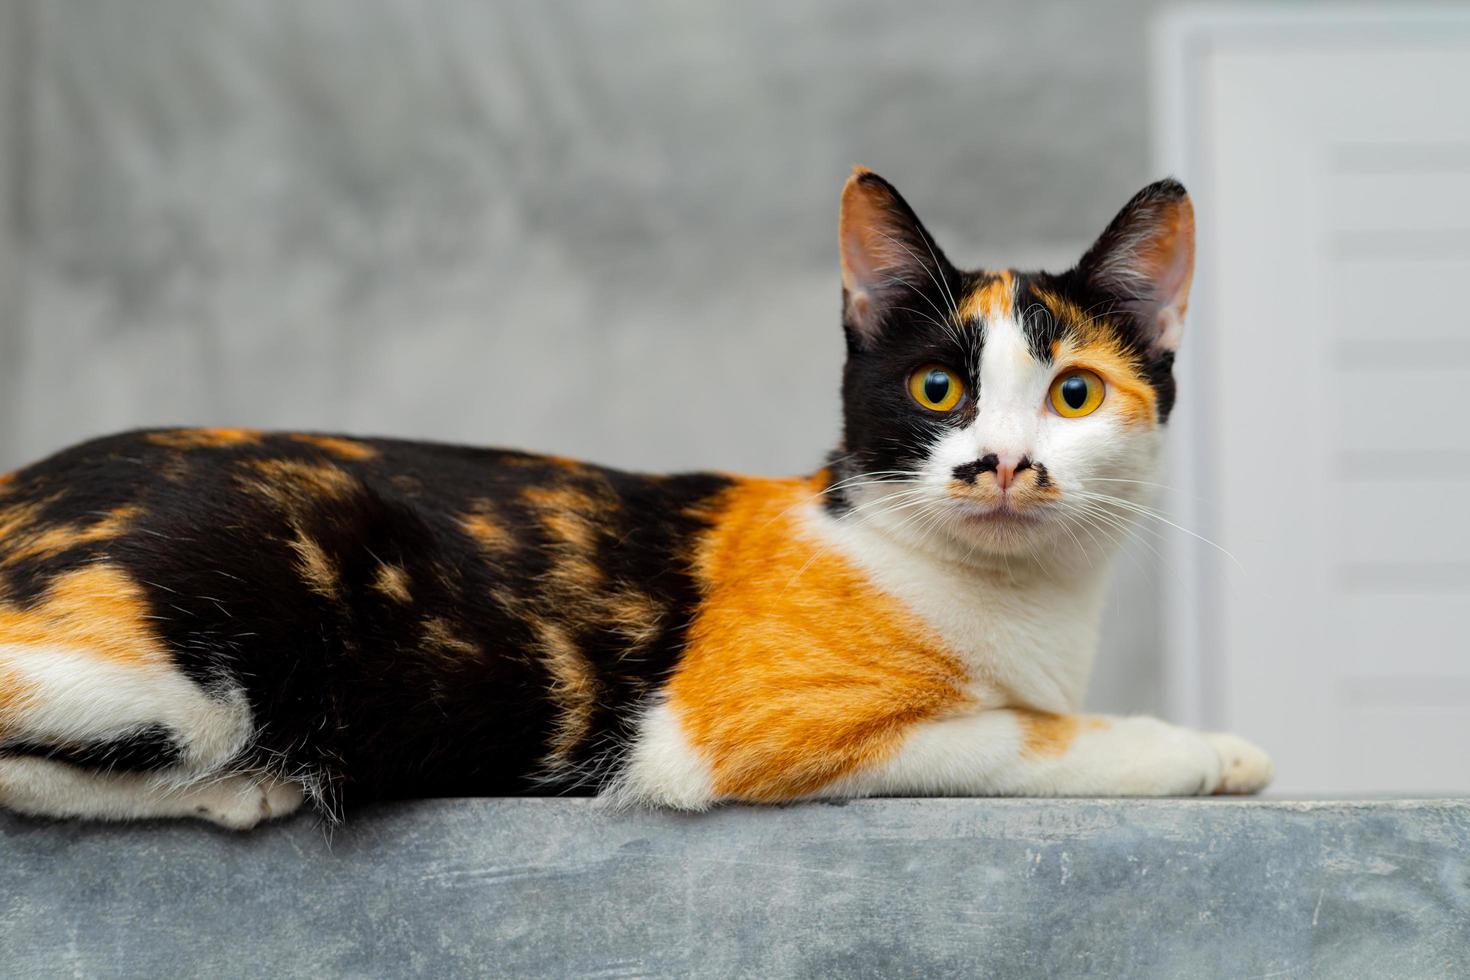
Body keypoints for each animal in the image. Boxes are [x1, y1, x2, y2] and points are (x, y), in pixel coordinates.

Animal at [0, 168, 1275, 828]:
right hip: (199, 654)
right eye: (938, 387)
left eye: (1073, 392)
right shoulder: (737, 729)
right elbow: (1026, 733)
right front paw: (1203, 749)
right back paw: (245, 787)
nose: (1002, 464)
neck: (1025, 606)